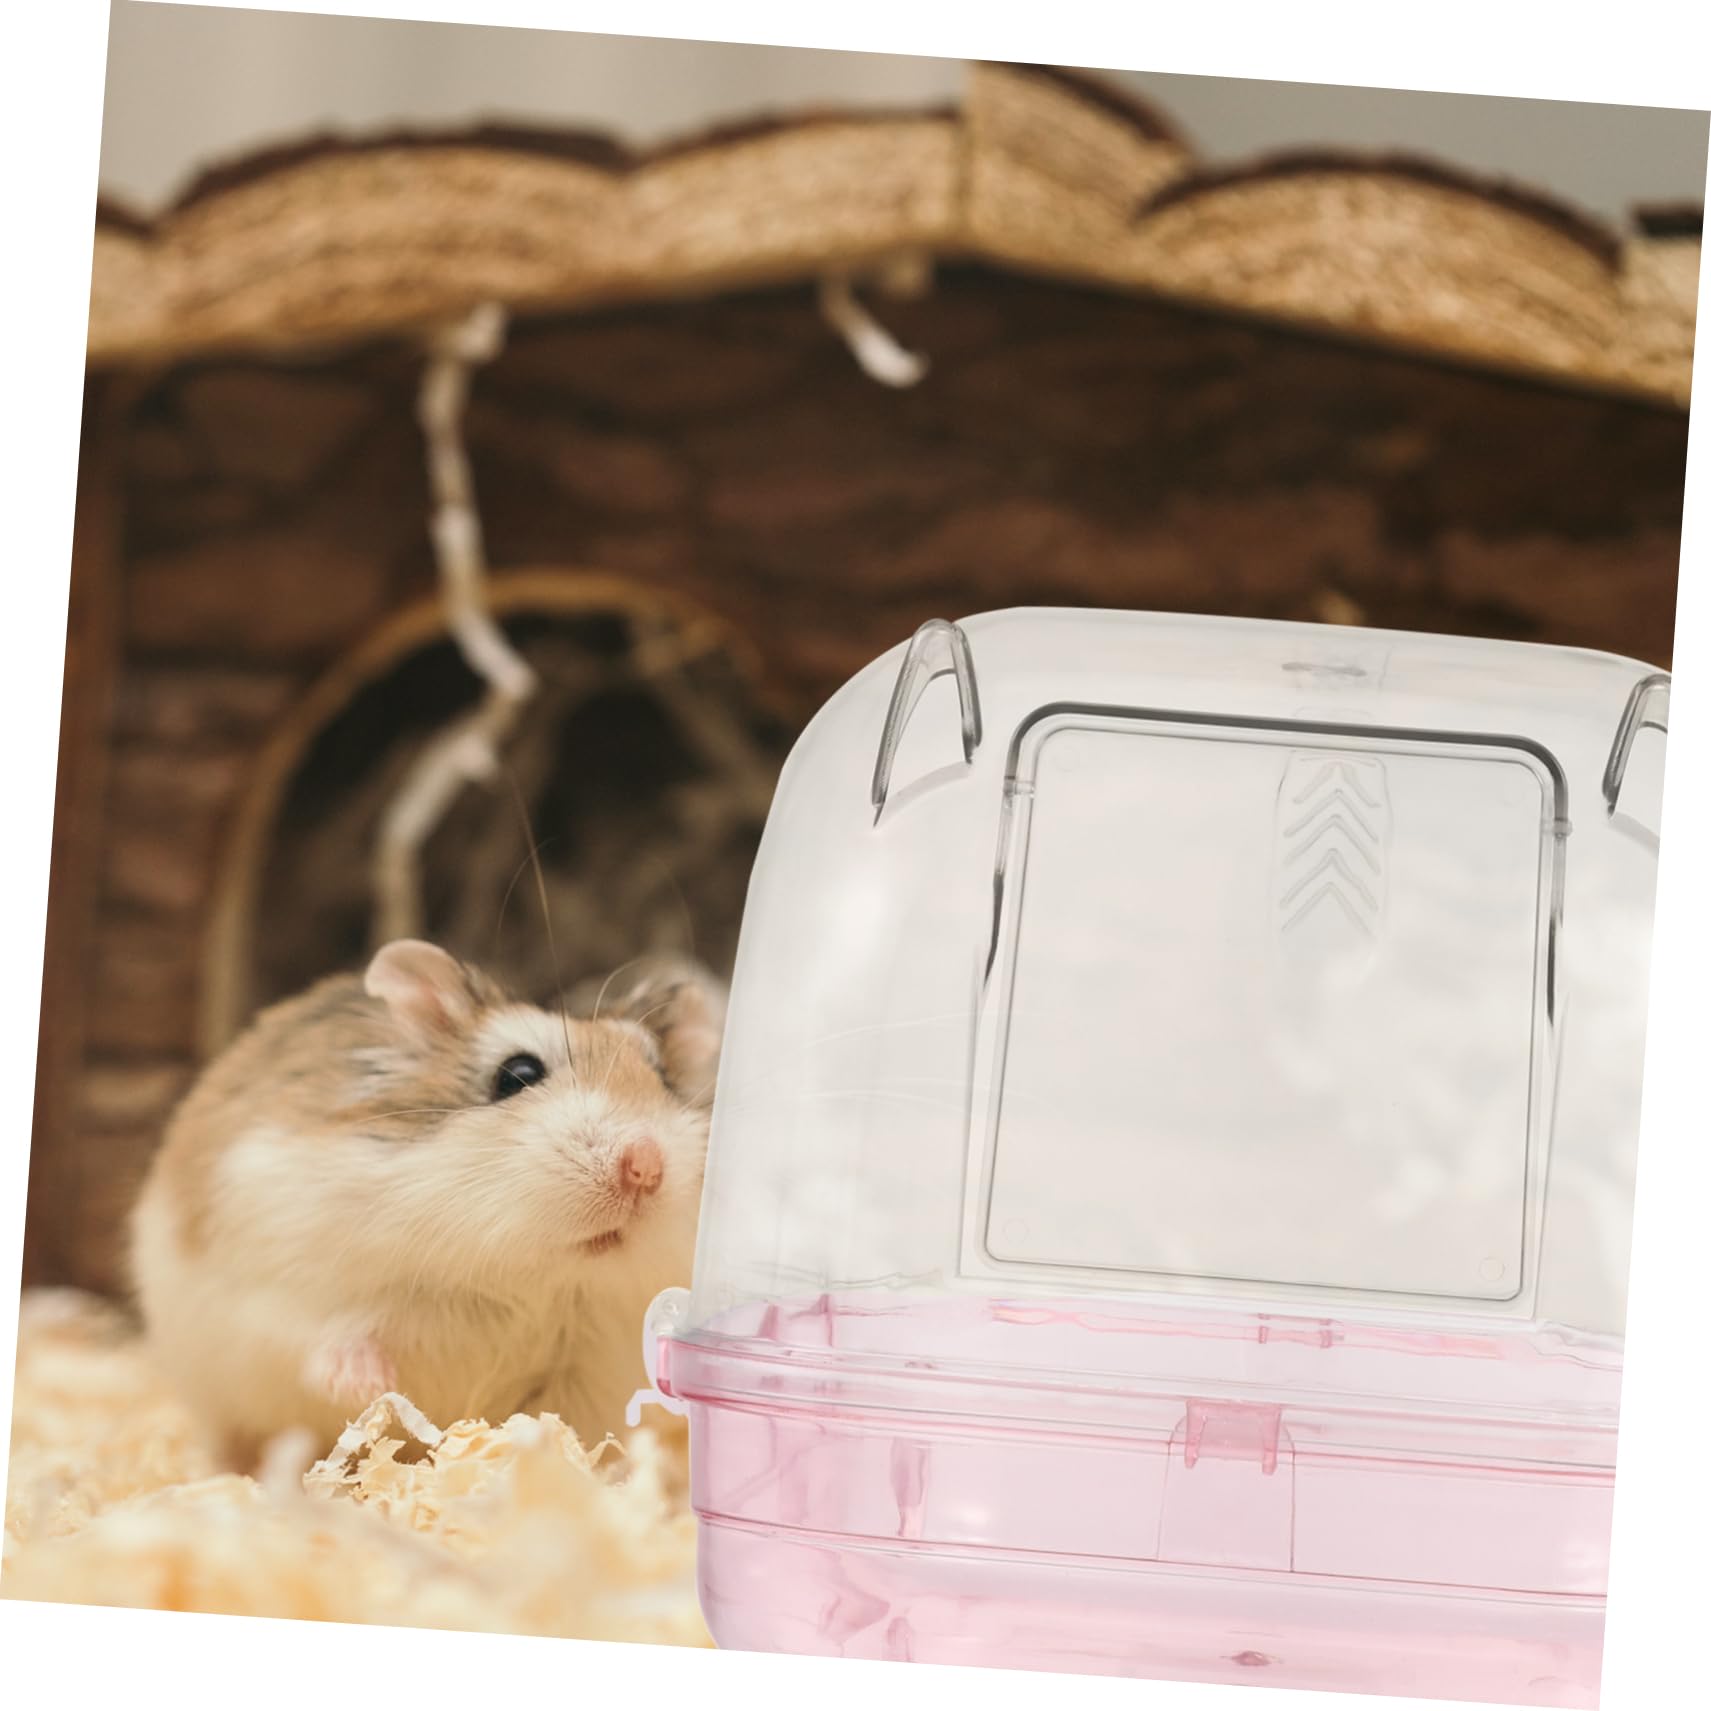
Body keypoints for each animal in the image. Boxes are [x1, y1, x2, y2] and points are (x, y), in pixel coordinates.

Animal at [128, 939, 724, 1472]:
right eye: (518, 1075)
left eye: (663, 1079)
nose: (645, 1166)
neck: (528, 1277)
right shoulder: (280, 1288)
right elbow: (326, 1338)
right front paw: (370, 1386)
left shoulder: (588, 1372)